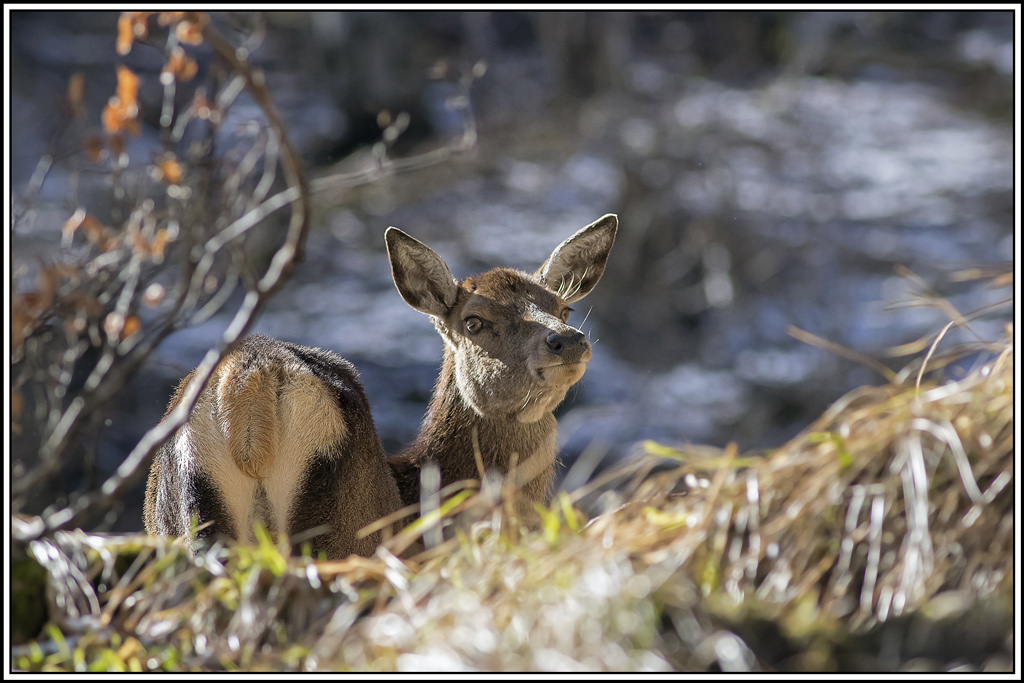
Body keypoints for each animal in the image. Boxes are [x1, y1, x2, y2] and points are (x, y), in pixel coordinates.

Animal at [144, 214, 617, 558]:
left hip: (194, 515)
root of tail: (253, 377)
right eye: (474, 322)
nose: (567, 340)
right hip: (340, 529)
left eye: (564, 308)